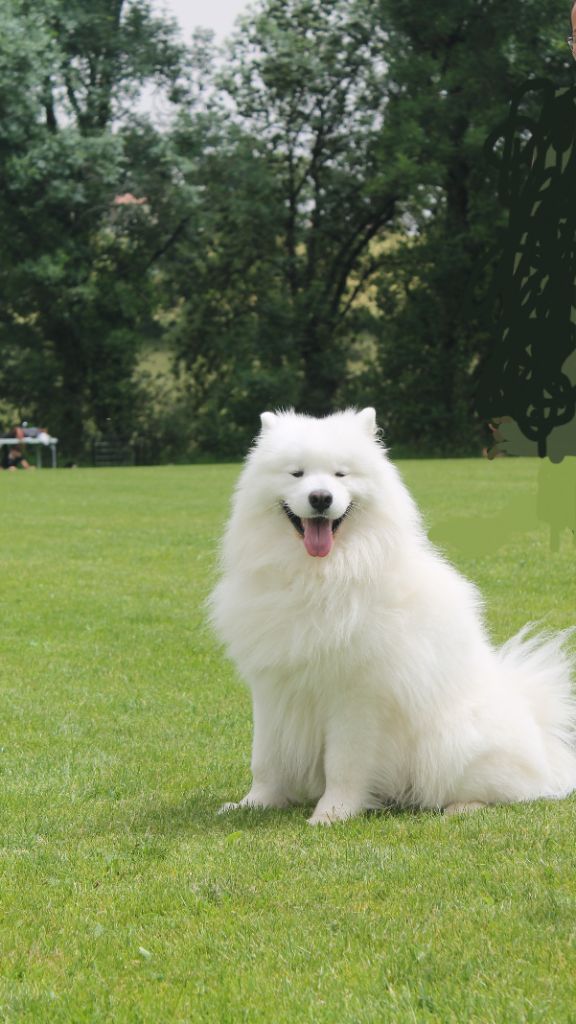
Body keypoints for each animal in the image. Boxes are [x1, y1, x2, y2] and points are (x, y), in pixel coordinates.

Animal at [210, 407, 573, 823]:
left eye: (341, 474)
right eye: (296, 473)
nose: (320, 497)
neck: (320, 576)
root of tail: (541, 738)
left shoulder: (357, 694)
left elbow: (344, 763)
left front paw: (331, 815)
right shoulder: (272, 687)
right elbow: (266, 758)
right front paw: (254, 804)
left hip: (450, 743)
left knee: (504, 790)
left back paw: (460, 807)